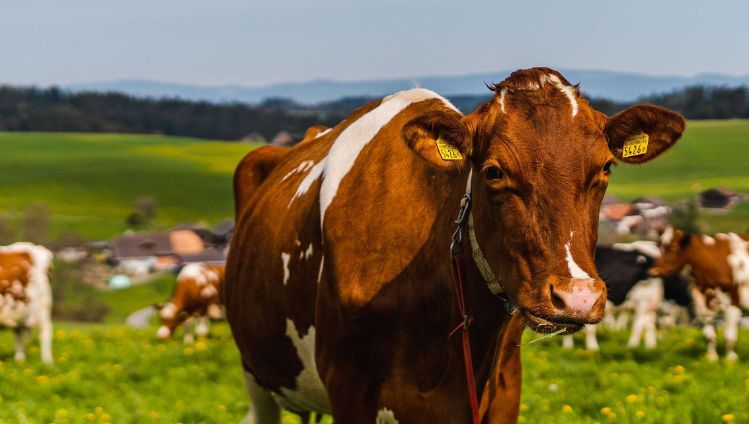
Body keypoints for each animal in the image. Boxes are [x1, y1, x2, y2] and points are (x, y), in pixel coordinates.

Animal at [226, 67, 684, 424]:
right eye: (494, 171)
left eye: (606, 167)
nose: (577, 298)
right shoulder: (349, 387)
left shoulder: (502, 391)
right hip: (255, 372)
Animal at [648, 229, 748, 362]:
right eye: (659, 246)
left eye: (674, 247)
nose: (652, 271)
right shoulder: (701, 301)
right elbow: (709, 334)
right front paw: (711, 357)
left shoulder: (733, 300)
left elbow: (730, 335)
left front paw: (731, 358)